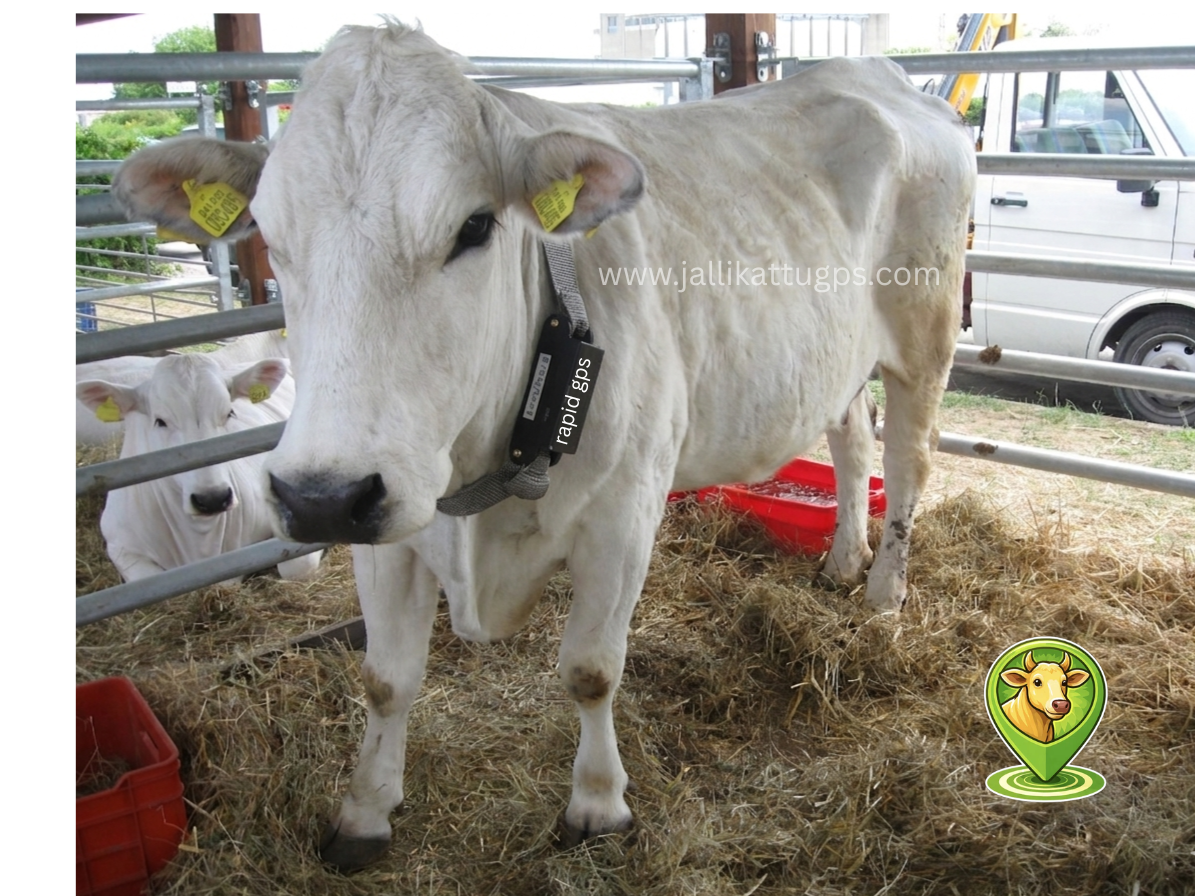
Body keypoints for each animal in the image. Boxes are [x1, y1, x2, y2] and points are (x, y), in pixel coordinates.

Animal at [76, 352, 322, 584]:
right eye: (160, 421)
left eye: (229, 413)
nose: (213, 498)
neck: (201, 541)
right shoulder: (120, 545)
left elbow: (295, 567)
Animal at [111, 23, 975, 869]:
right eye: (269, 233)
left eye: (473, 226)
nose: (319, 498)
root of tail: (875, 74)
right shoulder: (382, 529)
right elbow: (386, 680)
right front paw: (364, 812)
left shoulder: (622, 521)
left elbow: (589, 671)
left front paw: (596, 806)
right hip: (837, 359)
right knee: (851, 440)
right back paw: (840, 560)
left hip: (924, 333)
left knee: (907, 462)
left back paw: (883, 592)